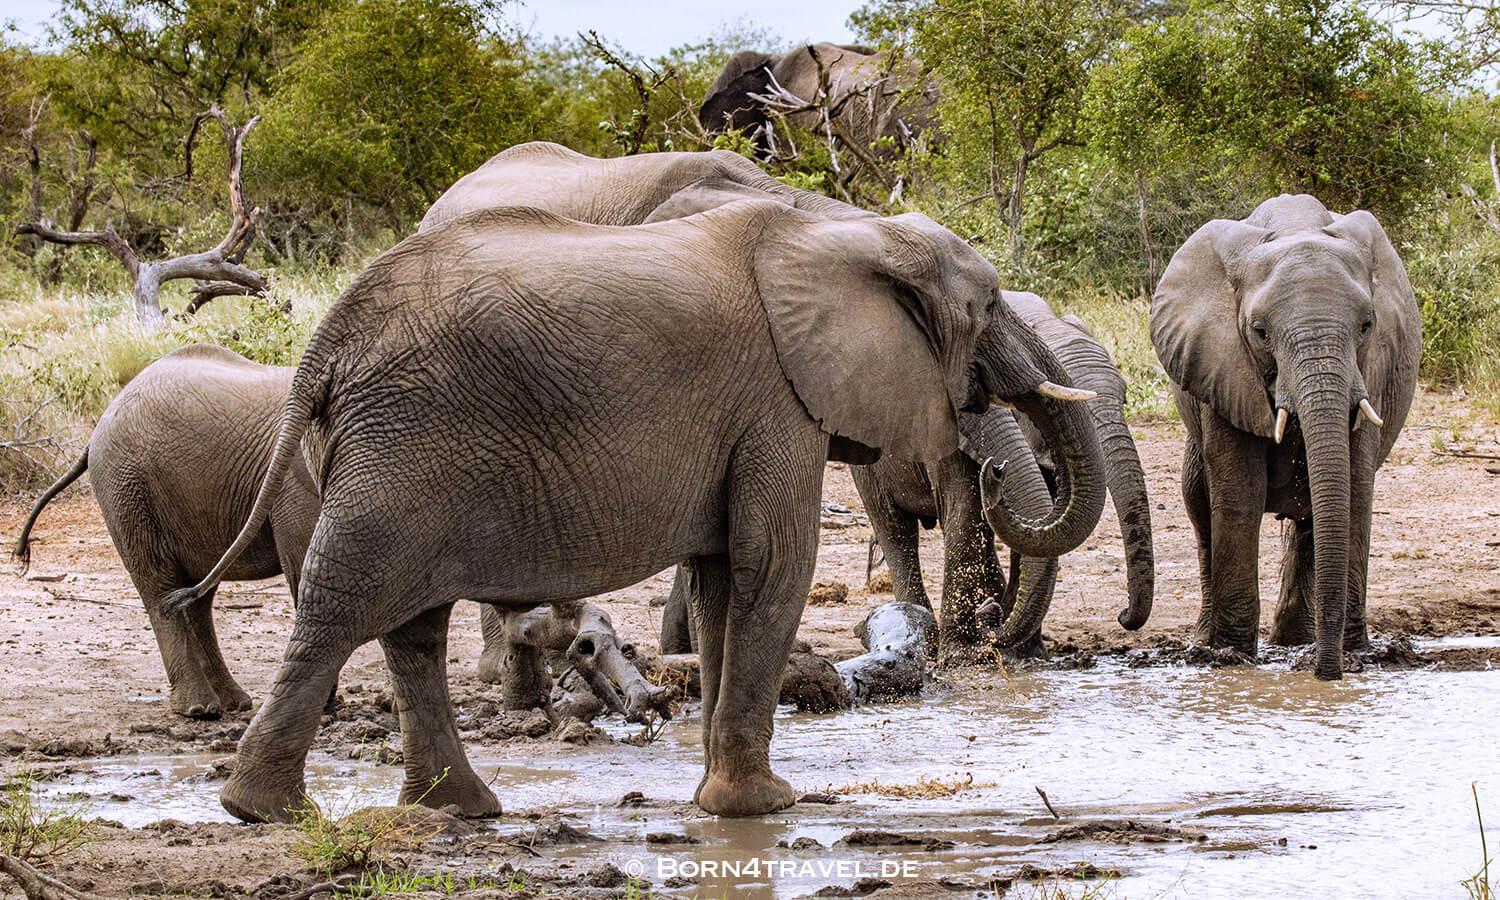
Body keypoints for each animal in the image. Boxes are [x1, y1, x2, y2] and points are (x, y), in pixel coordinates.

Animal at [12, 344, 319, 719]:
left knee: (197, 592)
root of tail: (102, 420)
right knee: (158, 583)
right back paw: (198, 708)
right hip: (126, 486)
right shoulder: (296, 484)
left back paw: (231, 703)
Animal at [161, 198, 1106, 824]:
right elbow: (774, 566)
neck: (841, 230)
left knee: (410, 627)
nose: (991, 468)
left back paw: (459, 811)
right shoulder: (778, 402)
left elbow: (726, 579)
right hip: (403, 450)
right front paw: (765, 807)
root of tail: (325, 342)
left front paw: (720, 803)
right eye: (989, 307)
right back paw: (265, 812)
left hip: (391, 450)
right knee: (346, 603)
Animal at [1151, 194, 1421, 680]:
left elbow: (1353, 487)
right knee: (1199, 504)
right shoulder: (1223, 364)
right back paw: (1209, 645)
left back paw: (1296, 641)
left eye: (1367, 326)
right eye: (1260, 332)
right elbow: (1240, 490)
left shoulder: (1373, 369)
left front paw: (1357, 656)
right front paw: (1232, 657)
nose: (1327, 676)